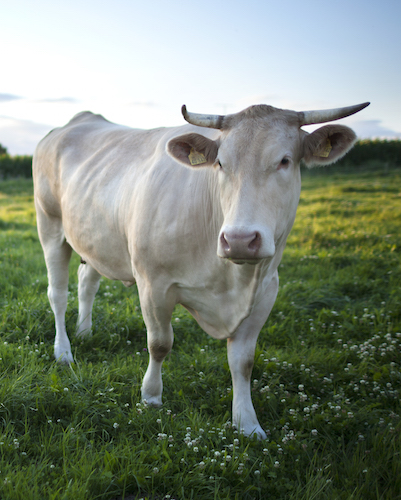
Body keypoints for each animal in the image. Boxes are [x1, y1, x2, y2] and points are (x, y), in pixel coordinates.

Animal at [32, 100, 368, 438]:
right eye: (220, 163)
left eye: (285, 160)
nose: (239, 240)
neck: (231, 280)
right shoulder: (153, 284)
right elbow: (159, 344)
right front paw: (151, 396)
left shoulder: (266, 289)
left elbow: (243, 361)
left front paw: (247, 422)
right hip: (50, 226)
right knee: (57, 294)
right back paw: (64, 351)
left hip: (93, 238)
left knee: (87, 282)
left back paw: (84, 332)